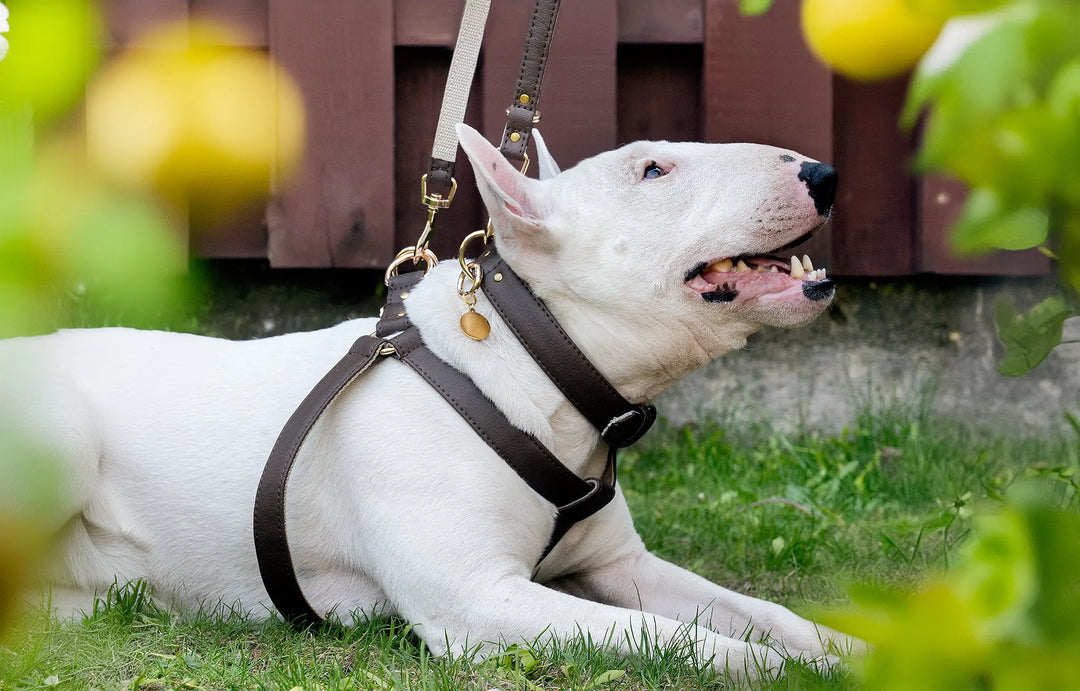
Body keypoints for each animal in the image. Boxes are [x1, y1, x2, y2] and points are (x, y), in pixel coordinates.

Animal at [6, 124, 851, 682]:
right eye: (652, 169)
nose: (823, 173)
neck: (529, 365)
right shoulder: (475, 599)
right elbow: (668, 633)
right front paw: (777, 668)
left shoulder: (618, 562)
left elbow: (764, 613)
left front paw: (849, 649)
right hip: (64, 438)